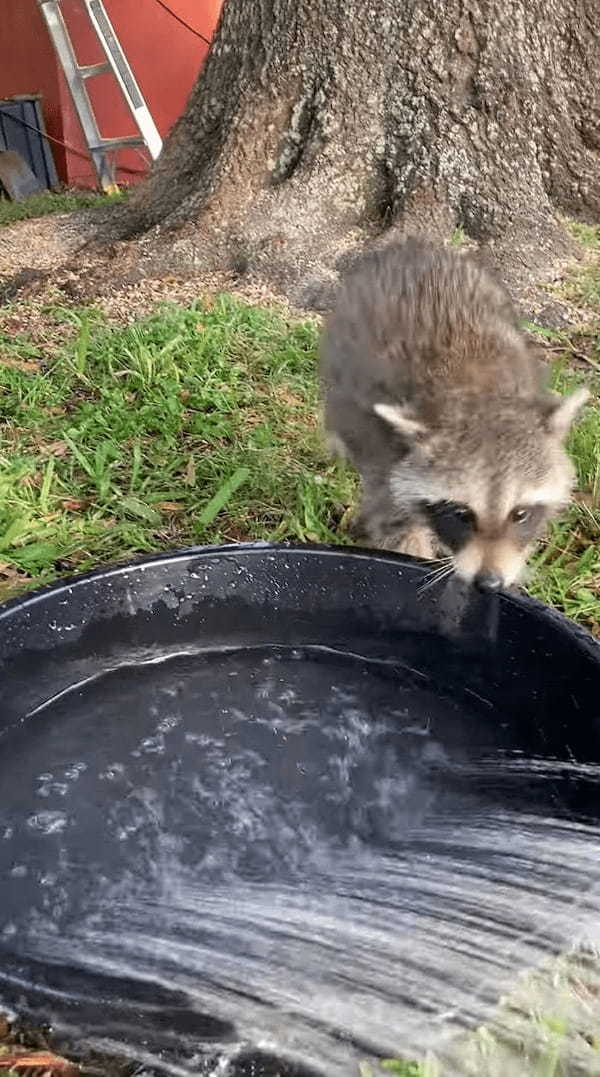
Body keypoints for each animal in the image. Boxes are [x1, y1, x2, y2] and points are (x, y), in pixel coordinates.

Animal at [321, 238, 585, 590]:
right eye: (461, 513)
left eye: (520, 513)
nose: (489, 582)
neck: (478, 396)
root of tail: (411, 247)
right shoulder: (387, 457)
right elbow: (395, 526)